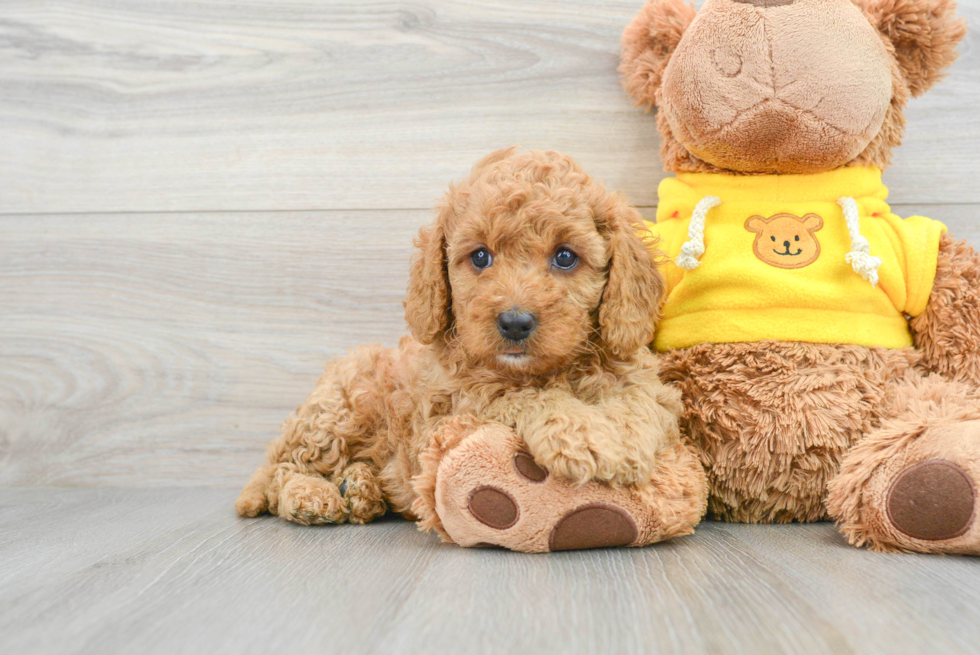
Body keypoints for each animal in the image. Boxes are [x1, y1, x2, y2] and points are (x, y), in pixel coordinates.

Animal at [241, 150, 708, 552]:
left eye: (565, 257)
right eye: (480, 257)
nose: (515, 322)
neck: (550, 368)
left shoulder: (645, 381)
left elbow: (639, 402)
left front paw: (624, 445)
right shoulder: (451, 407)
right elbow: (522, 394)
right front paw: (581, 435)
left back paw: (362, 490)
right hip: (339, 410)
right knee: (284, 469)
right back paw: (312, 496)